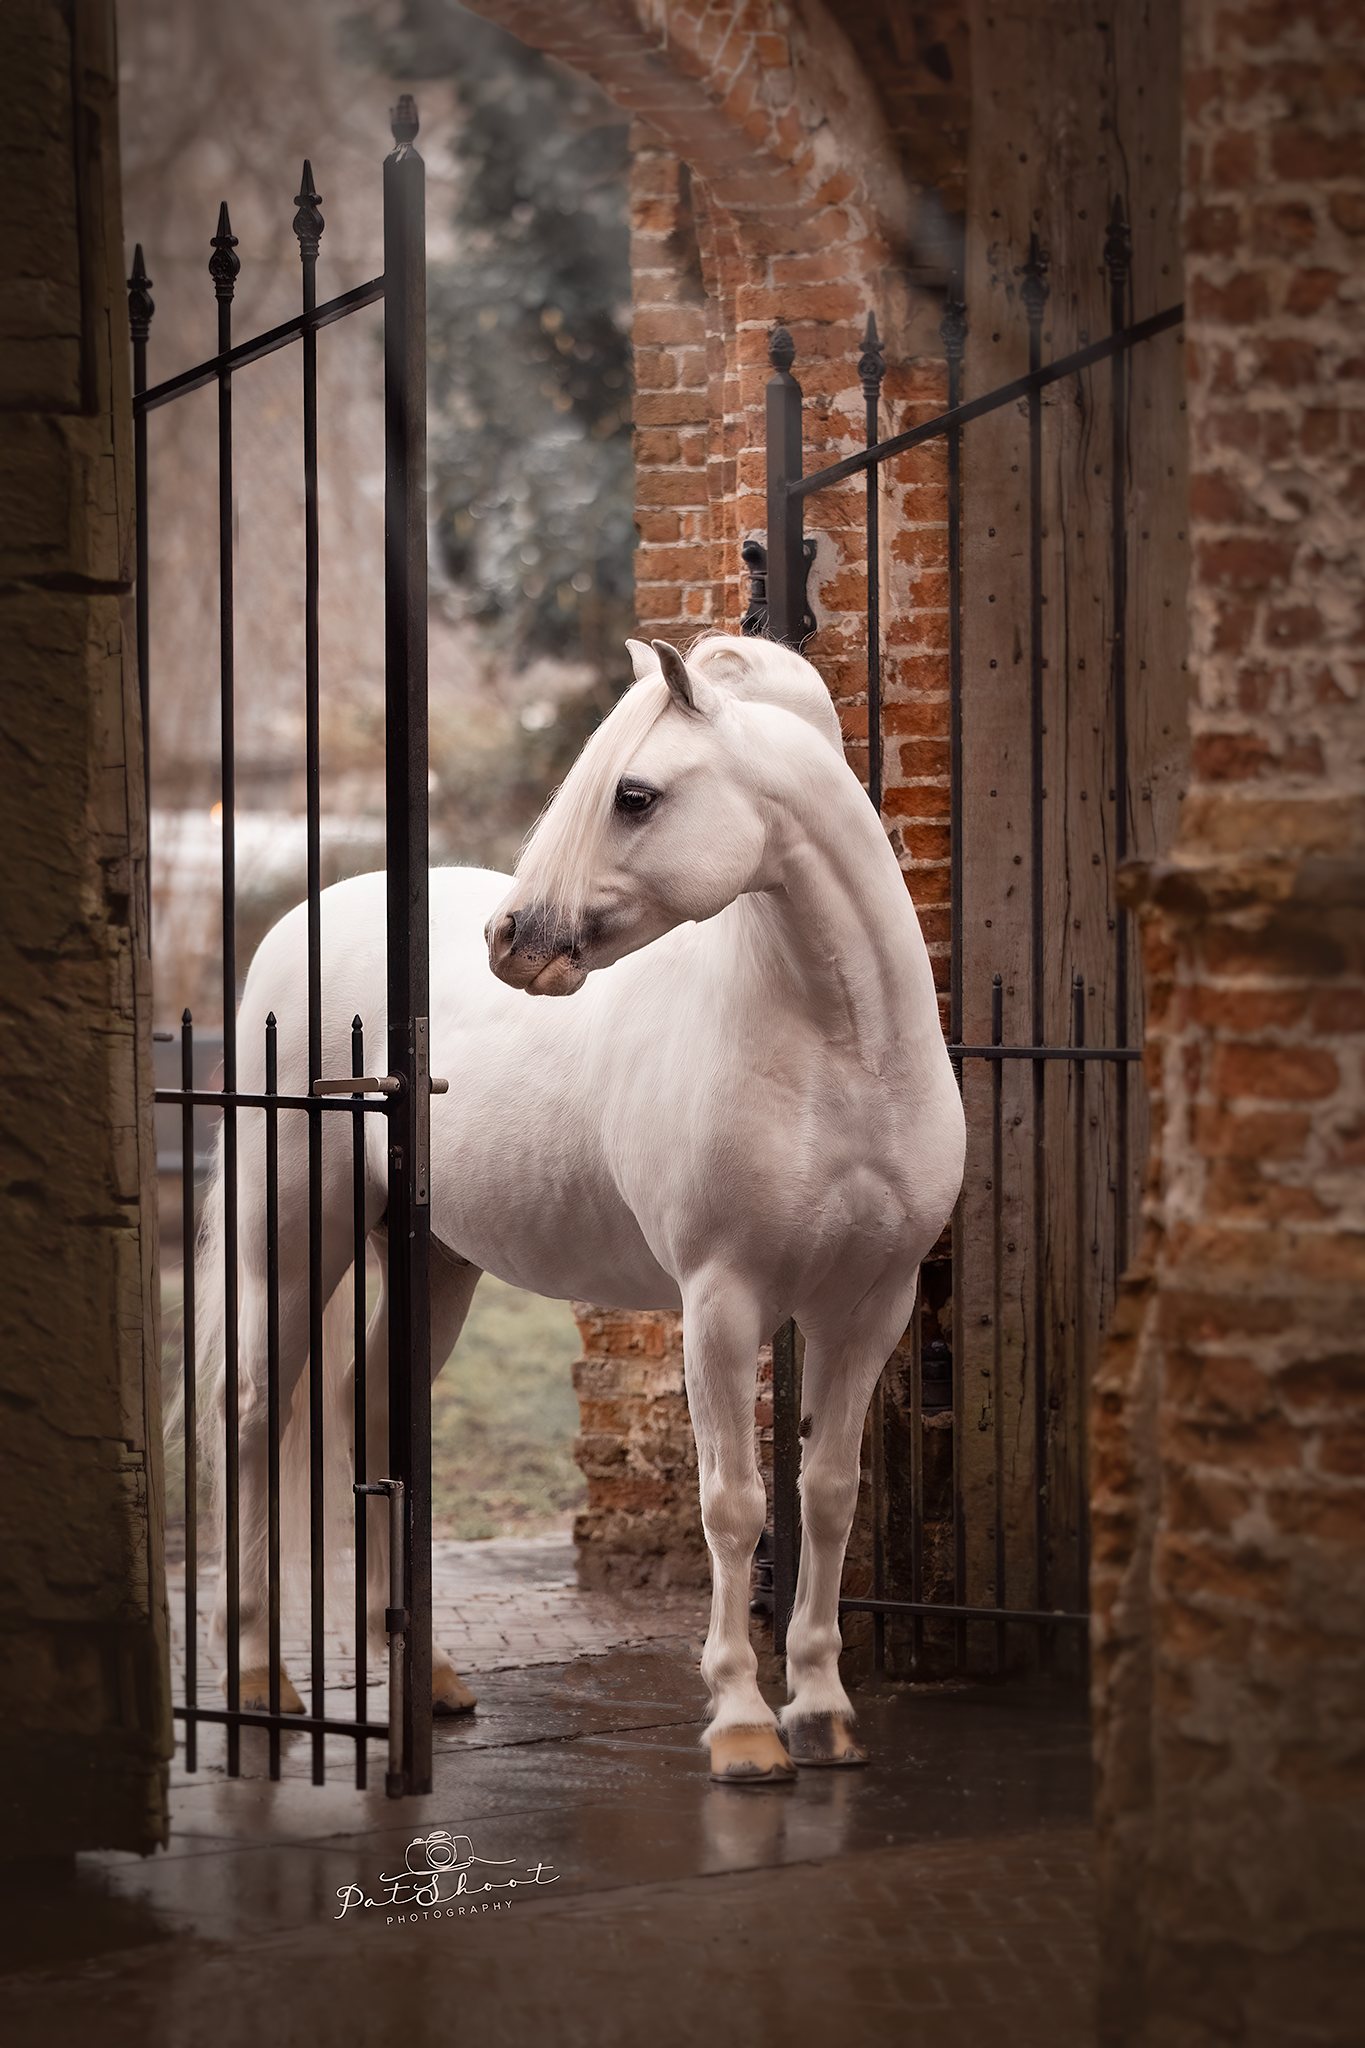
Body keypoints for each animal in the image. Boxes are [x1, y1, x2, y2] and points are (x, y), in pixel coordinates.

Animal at [199, 630, 964, 1781]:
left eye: (635, 794)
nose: (509, 941)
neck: (842, 1051)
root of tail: (302, 919)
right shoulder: (722, 1303)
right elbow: (735, 1505)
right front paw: (742, 1723)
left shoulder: (868, 1306)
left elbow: (827, 1493)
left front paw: (824, 1709)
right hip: (287, 1242)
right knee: (254, 1416)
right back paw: (256, 1678)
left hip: (434, 1263)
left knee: (370, 1416)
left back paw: (425, 1676)